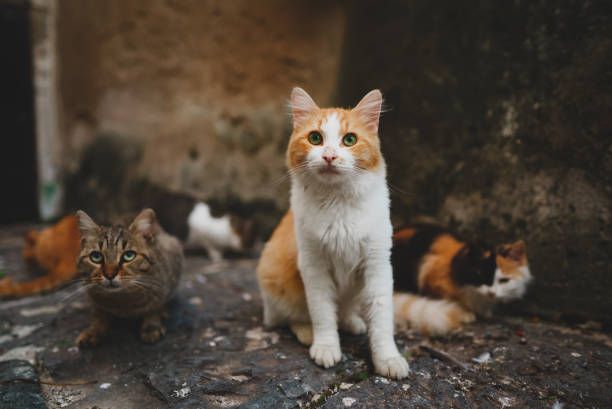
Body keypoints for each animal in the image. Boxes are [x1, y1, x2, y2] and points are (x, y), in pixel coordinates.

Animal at [75, 207, 183, 344]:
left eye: (129, 255)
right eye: (96, 257)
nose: (109, 275)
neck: (122, 301)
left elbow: (155, 306)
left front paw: (151, 325)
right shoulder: (91, 293)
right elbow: (98, 313)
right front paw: (94, 329)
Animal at [256, 87, 408, 378]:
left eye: (349, 140)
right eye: (315, 138)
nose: (329, 156)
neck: (338, 203)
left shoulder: (377, 264)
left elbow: (382, 321)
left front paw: (388, 359)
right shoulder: (314, 265)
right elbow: (322, 313)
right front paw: (326, 347)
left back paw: (351, 321)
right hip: (276, 284)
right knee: (289, 318)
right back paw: (308, 334)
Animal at [392, 223, 532, 334]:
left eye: (503, 280)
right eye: (480, 275)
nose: (491, 293)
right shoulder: (429, 273)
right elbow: (450, 298)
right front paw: (465, 313)